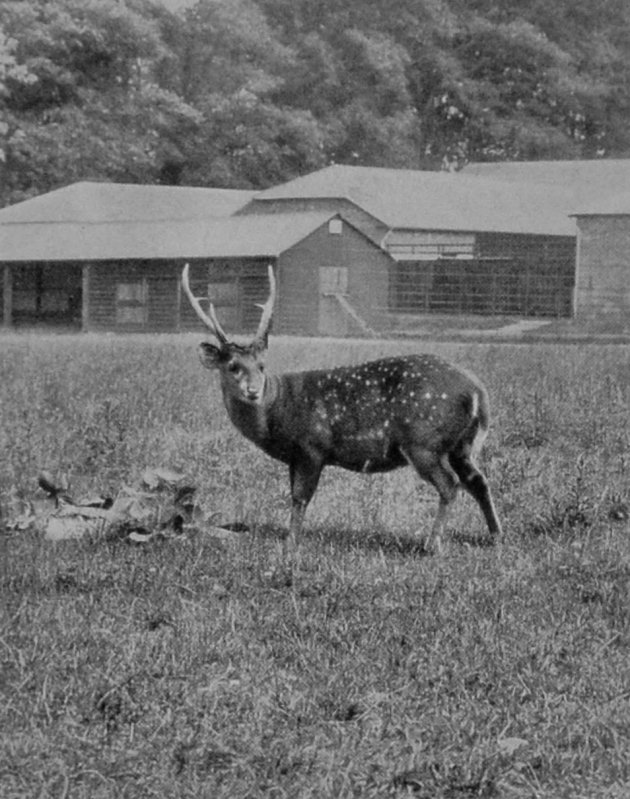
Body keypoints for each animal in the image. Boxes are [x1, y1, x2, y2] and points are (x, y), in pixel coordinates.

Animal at [182, 263, 502, 554]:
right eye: (233, 366)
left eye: (261, 366)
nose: (253, 391)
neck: (278, 412)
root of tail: (478, 392)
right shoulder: (296, 457)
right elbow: (294, 496)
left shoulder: (313, 446)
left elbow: (300, 498)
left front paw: (290, 543)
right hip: (461, 444)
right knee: (477, 480)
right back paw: (495, 536)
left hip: (424, 440)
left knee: (450, 484)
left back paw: (431, 545)